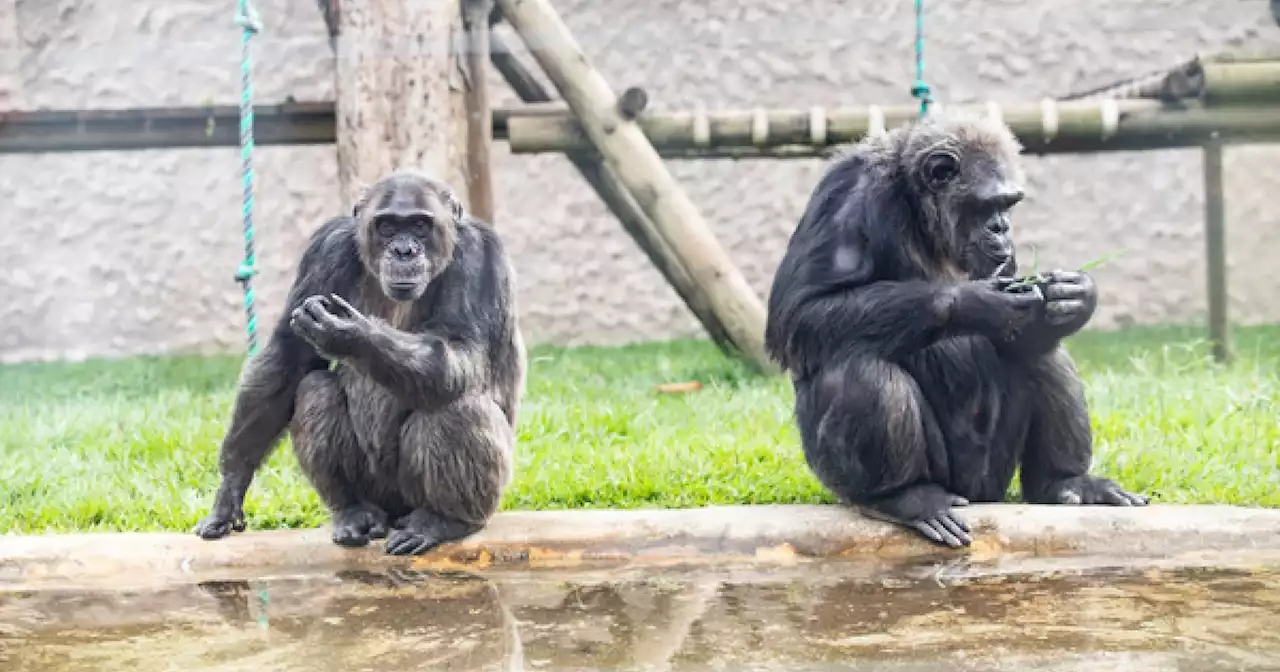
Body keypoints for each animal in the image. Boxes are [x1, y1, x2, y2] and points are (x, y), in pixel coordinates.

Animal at [195, 171, 524, 555]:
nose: (403, 250)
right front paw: (230, 489)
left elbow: (459, 348)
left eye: (420, 225)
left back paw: (442, 521)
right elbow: (288, 357)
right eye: (387, 226)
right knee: (315, 389)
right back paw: (354, 513)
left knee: (457, 407)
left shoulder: (480, 256)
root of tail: (394, 514)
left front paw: (353, 333)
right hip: (376, 492)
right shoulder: (326, 248)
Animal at [757, 112, 1152, 547]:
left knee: (1043, 354)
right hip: (920, 477)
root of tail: (975, 496)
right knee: (858, 365)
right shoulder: (847, 193)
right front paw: (977, 302)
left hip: (992, 475)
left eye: (1009, 204)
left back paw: (1067, 482)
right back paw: (904, 496)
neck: (917, 208)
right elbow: (802, 311)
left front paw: (1077, 295)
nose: (1001, 227)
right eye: (988, 204)